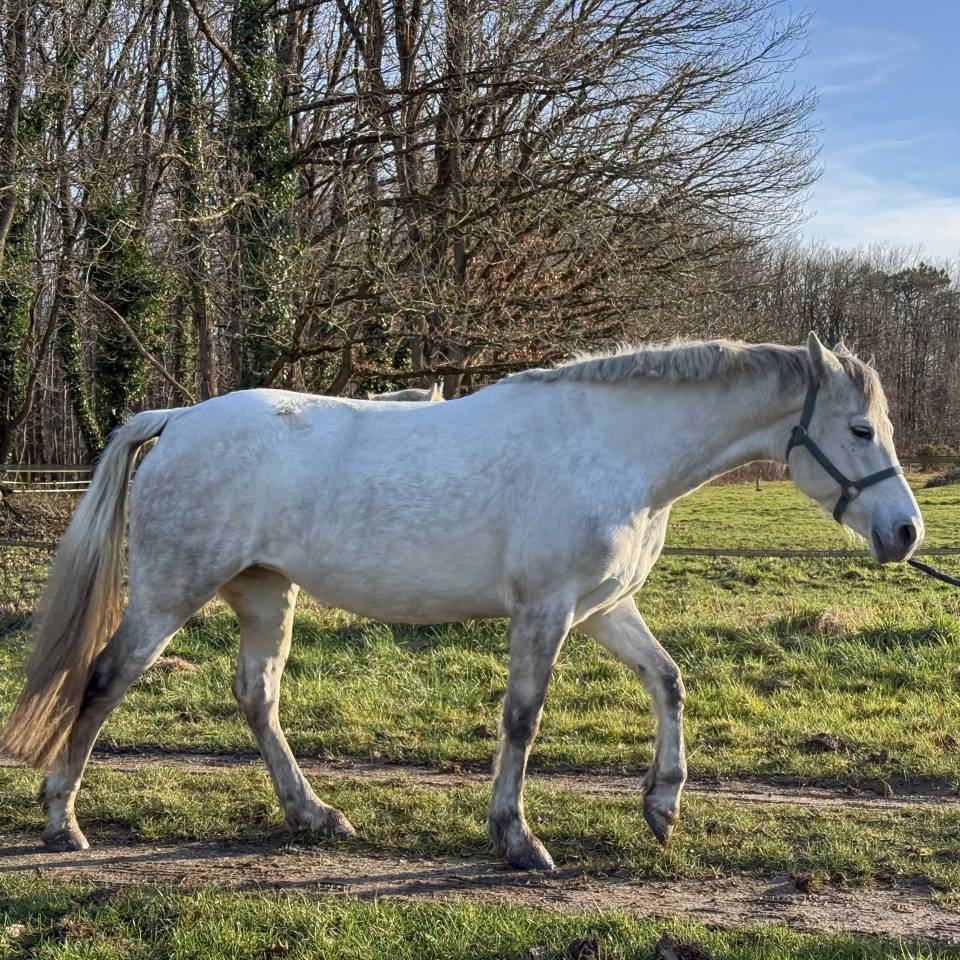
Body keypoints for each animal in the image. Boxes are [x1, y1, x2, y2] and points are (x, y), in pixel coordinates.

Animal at [1, 333, 923, 869]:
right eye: (860, 430)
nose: (907, 532)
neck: (613, 449)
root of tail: (180, 418)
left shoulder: (600, 609)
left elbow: (668, 681)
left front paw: (662, 805)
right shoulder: (546, 611)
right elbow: (523, 719)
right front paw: (516, 837)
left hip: (265, 594)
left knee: (256, 697)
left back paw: (314, 815)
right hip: (169, 593)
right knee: (103, 680)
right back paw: (61, 820)